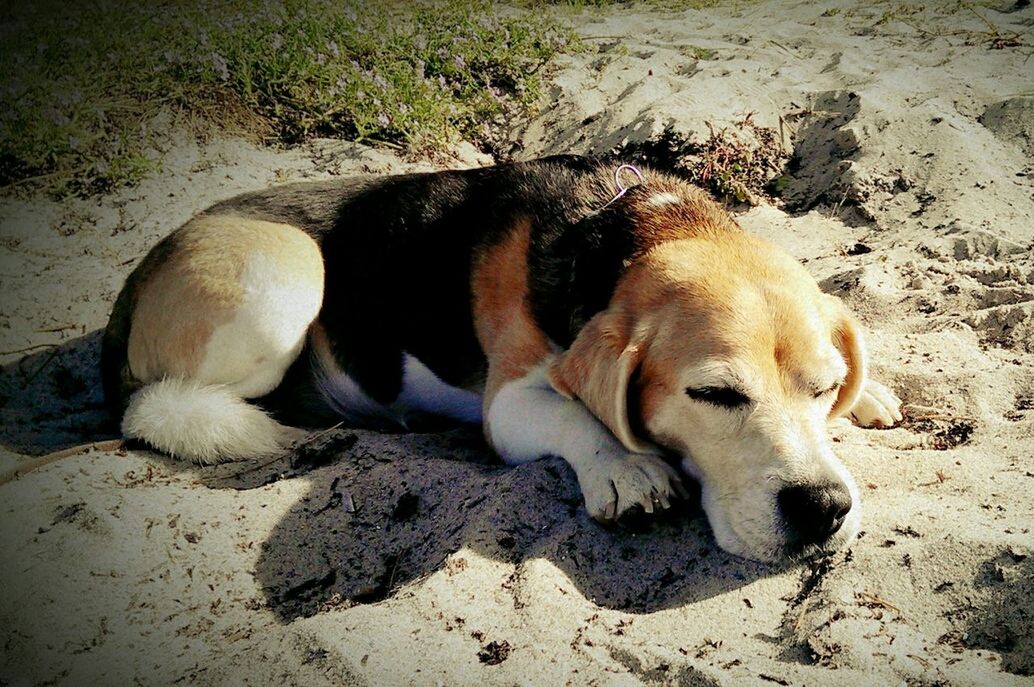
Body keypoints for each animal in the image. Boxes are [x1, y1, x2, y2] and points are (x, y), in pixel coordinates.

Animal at [100, 157, 901, 562]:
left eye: (823, 388)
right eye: (715, 395)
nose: (824, 508)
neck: (635, 219)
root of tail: (142, 268)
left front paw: (872, 392)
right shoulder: (511, 401)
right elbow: (574, 418)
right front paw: (624, 465)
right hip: (287, 280)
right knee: (153, 404)